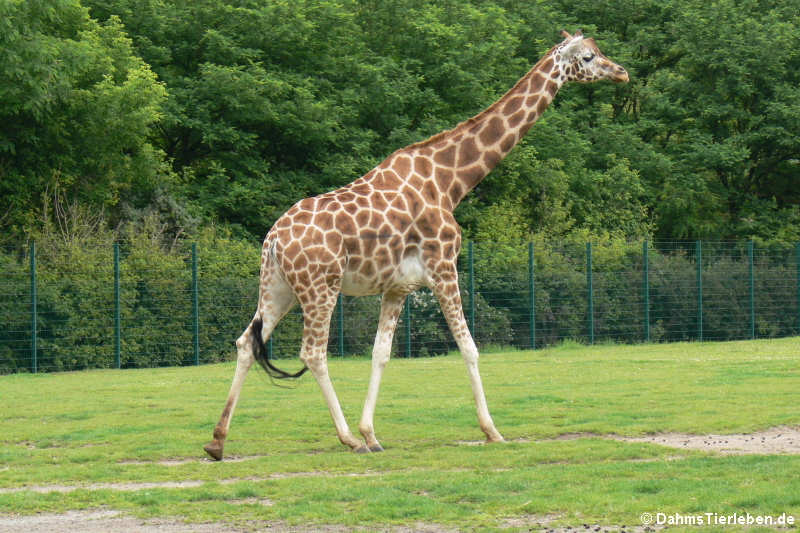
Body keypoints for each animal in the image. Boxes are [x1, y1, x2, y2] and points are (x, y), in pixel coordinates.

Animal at [203, 29, 628, 458]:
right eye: (588, 57)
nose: (621, 72)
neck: (451, 181)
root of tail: (273, 239)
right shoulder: (443, 267)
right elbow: (469, 347)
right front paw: (492, 431)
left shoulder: (398, 286)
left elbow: (381, 354)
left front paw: (373, 433)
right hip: (320, 286)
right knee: (312, 352)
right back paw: (346, 439)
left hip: (279, 287)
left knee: (246, 342)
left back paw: (218, 442)